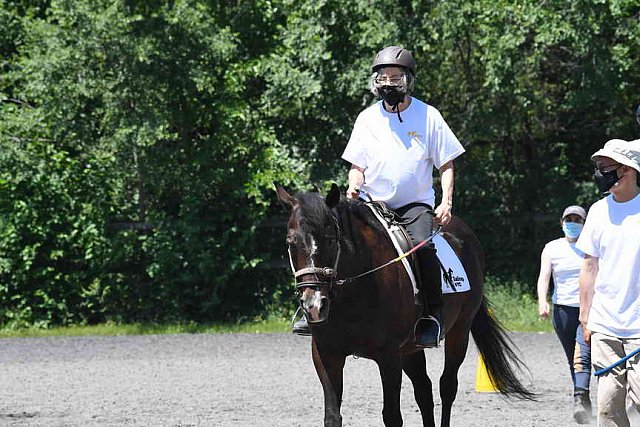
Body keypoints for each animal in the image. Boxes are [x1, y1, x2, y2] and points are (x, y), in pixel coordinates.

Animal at [276, 185, 536, 427]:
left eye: (331, 240)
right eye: (291, 242)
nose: (314, 304)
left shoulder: (388, 356)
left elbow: (392, 416)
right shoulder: (326, 355)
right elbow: (332, 416)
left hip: (459, 332)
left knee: (447, 386)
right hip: (411, 348)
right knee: (424, 390)